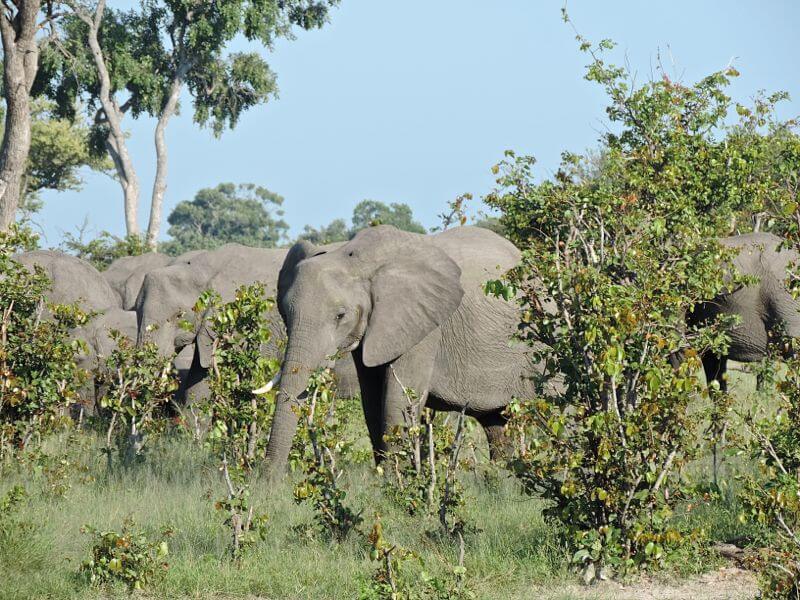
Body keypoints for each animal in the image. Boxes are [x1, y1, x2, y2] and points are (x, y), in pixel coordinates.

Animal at [264, 224, 541, 475]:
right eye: (284, 314)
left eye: (340, 316)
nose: (267, 482)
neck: (355, 260)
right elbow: (372, 399)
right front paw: (385, 479)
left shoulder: (424, 324)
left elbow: (398, 397)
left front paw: (392, 482)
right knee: (496, 423)